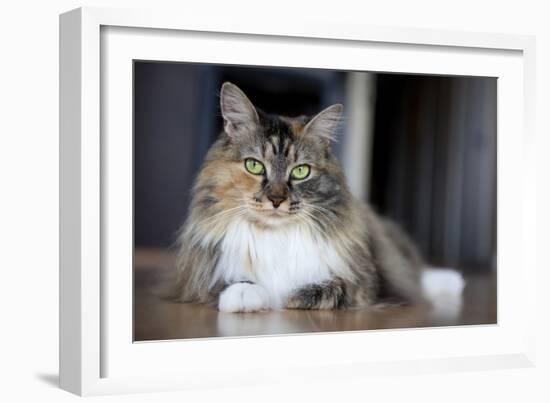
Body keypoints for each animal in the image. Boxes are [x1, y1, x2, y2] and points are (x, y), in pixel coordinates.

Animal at [175, 82, 424, 314]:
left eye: (300, 171)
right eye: (254, 165)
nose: (276, 200)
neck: (274, 238)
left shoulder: (363, 284)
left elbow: (329, 288)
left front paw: (291, 297)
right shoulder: (194, 280)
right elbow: (224, 283)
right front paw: (244, 293)